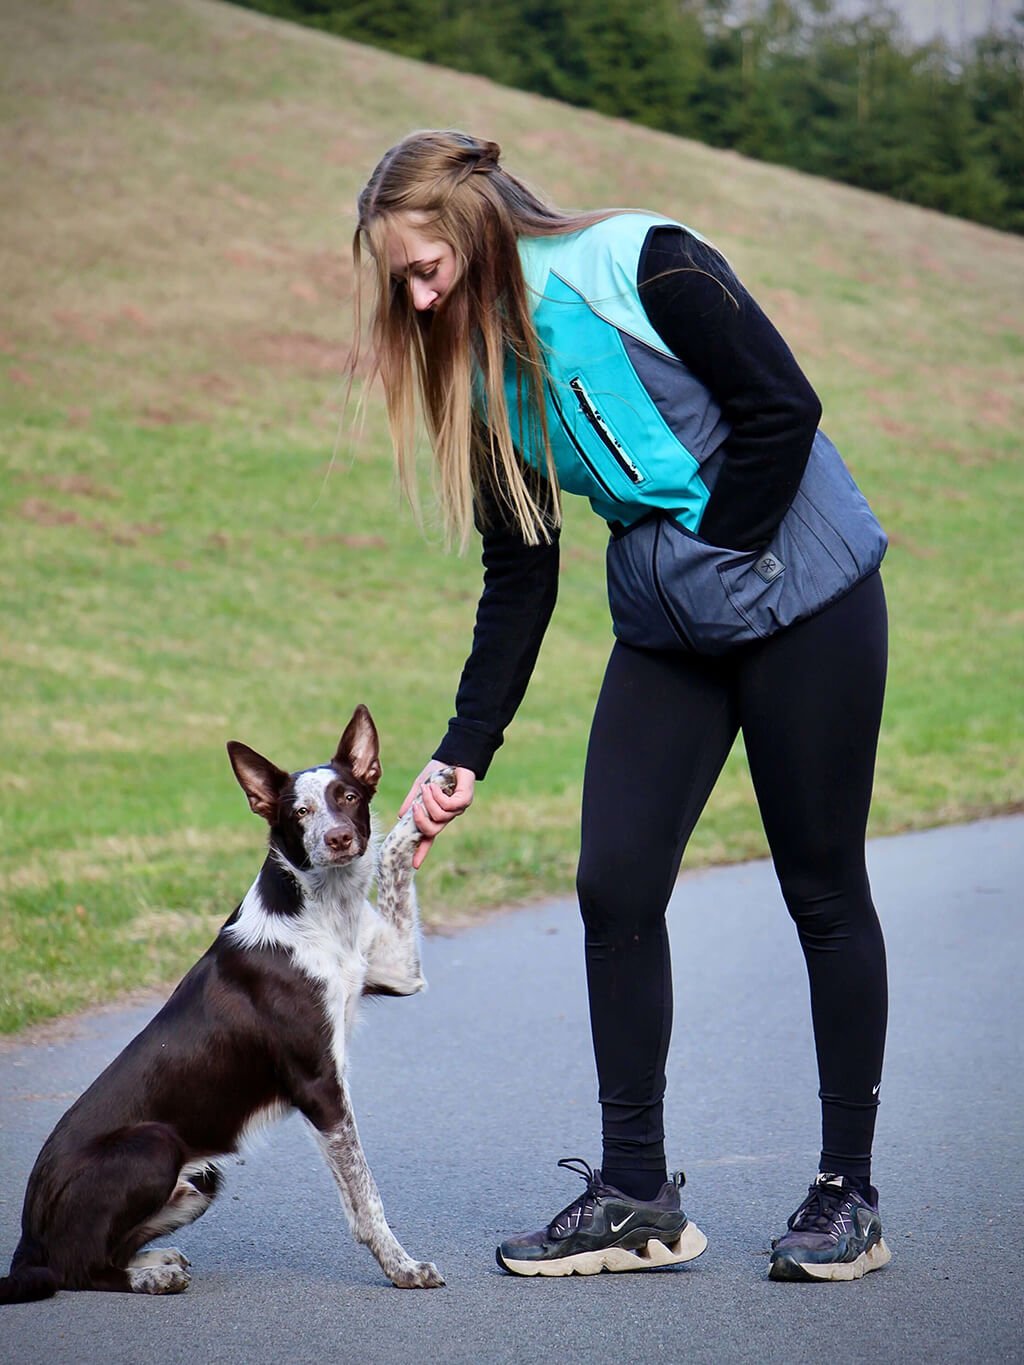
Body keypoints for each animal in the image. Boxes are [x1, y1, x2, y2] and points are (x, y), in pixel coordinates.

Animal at [1, 704, 447, 1299]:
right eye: (299, 811)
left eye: (349, 795)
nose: (337, 839)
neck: (323, 911)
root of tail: (26, 1238)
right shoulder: (321, 1086)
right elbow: (365, 1194)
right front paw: (401, 1267)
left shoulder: (398, 968)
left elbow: (395, 857)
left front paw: (431, 798)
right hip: (155, 1144)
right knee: (76, 1269)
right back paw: (151, 1278)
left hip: (204, 1175)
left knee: (100, 1254)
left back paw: (153, 1261)